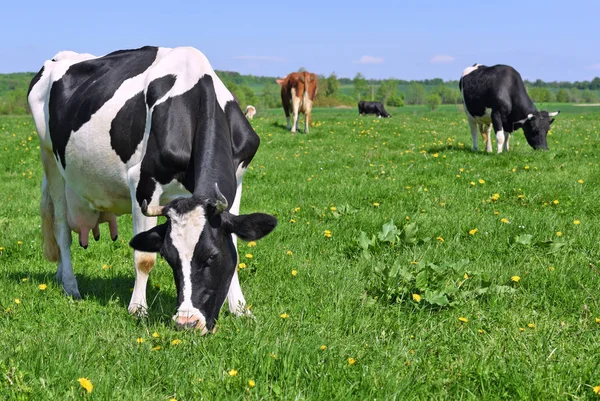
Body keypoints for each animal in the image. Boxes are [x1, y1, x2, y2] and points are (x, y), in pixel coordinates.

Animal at [29, 45, 278, 332]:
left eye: (212, 256)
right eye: (170, 258)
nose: (187, 322)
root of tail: (58, 57)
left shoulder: (237, 180)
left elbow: (235, 244)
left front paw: (240, 309)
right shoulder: (142, 183)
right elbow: (144, 258)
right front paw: (137, 308)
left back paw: (60, 275)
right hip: (49, 158)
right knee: (60, 228)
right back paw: (70, 285)